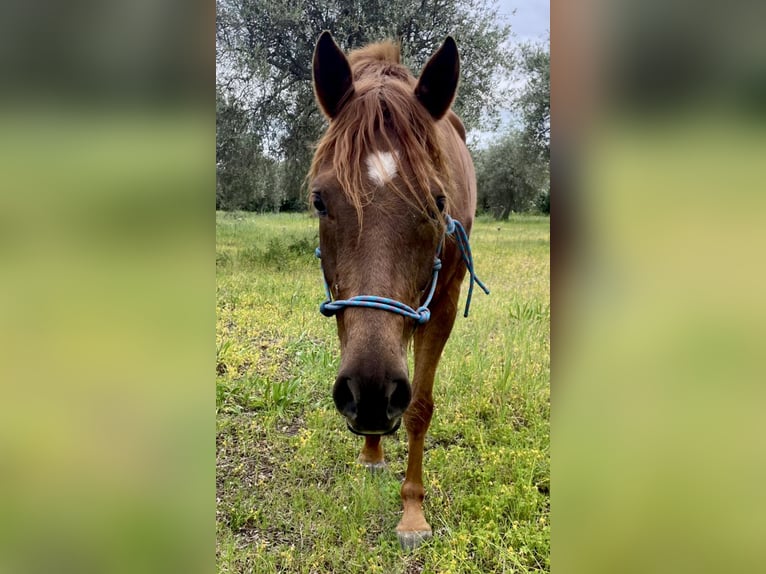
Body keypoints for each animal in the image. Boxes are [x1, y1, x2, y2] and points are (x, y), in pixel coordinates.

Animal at [308, 31, 488, 550]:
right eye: (319, 200)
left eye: (438, 202)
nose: (371, 394)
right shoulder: (343, 305)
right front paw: (371, 452)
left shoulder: (444, 303)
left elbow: (420, 409)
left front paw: (412, 513)